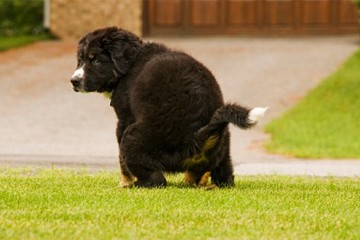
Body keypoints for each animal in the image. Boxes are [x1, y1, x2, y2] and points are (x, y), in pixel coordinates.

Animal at [70, 26, 268, 188]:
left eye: (95, 60)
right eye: (80, 60)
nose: (74, 81)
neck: (131, 64)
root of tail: (198, 137)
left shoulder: (124, 118)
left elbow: (121, 162)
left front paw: (124, 183)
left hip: (133, 137)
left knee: (157, 179)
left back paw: (135, 186)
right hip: (224, 147)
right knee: (226, 177)